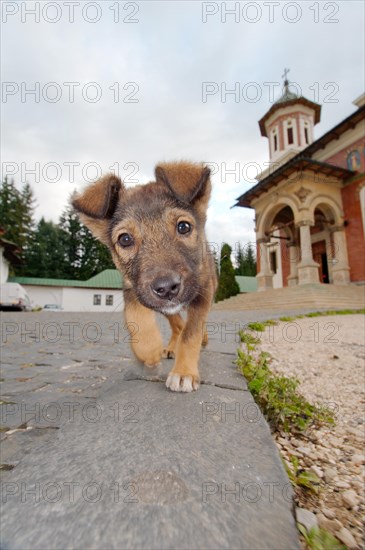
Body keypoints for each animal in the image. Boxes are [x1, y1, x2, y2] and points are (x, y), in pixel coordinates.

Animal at [72, 162, 218, 394]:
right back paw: (170, 346)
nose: (167, 288)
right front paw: (149, 350)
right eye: (125, 239)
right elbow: (136, 319)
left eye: (184, 227)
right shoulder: (134, 289)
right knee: (177, 323)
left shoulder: (203, 290)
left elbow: (191, 332)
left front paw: (184, 372)